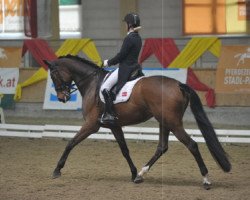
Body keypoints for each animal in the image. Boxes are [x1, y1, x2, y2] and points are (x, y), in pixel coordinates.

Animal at [44, 54, 231, 189]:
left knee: (192, 145)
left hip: (173, 123)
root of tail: (179, 84)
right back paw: (141, 174)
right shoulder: (114, 126)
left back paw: (206, 180)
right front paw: (133, 174)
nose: (61, 98)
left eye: (53, 75)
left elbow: (71, 142)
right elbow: (125, 150)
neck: (91, 83)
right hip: (164, 121)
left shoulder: (92, 124)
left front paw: (57, 170)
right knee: (162, 147)